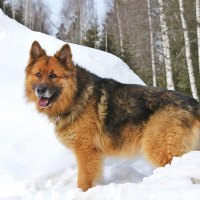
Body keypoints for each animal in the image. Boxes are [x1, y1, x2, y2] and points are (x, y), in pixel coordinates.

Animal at [25, 41, 200, 191]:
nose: (40, 90)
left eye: (53, 76)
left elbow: (83, 180)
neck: (76, 96)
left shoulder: (86, 150)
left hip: (158, 148)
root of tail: (193, 103)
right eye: (38, 74)